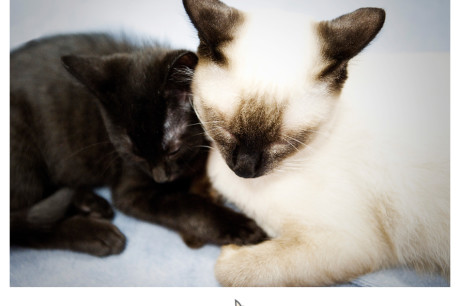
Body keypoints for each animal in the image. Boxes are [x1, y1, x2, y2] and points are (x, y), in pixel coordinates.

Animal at [9, 32, 266, 256]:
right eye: (134, 154)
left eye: (173, 150)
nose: (161, 179)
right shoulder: (130, 190)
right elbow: (185, 205)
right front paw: (234, 225)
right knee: (20, 224)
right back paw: (96, 235)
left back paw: (90, 203)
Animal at [182, 0, 450, 286]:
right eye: (225, 130)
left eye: (283, 142)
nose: (245, 169)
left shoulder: (345, 242)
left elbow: (234, 270)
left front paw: (229, 254)